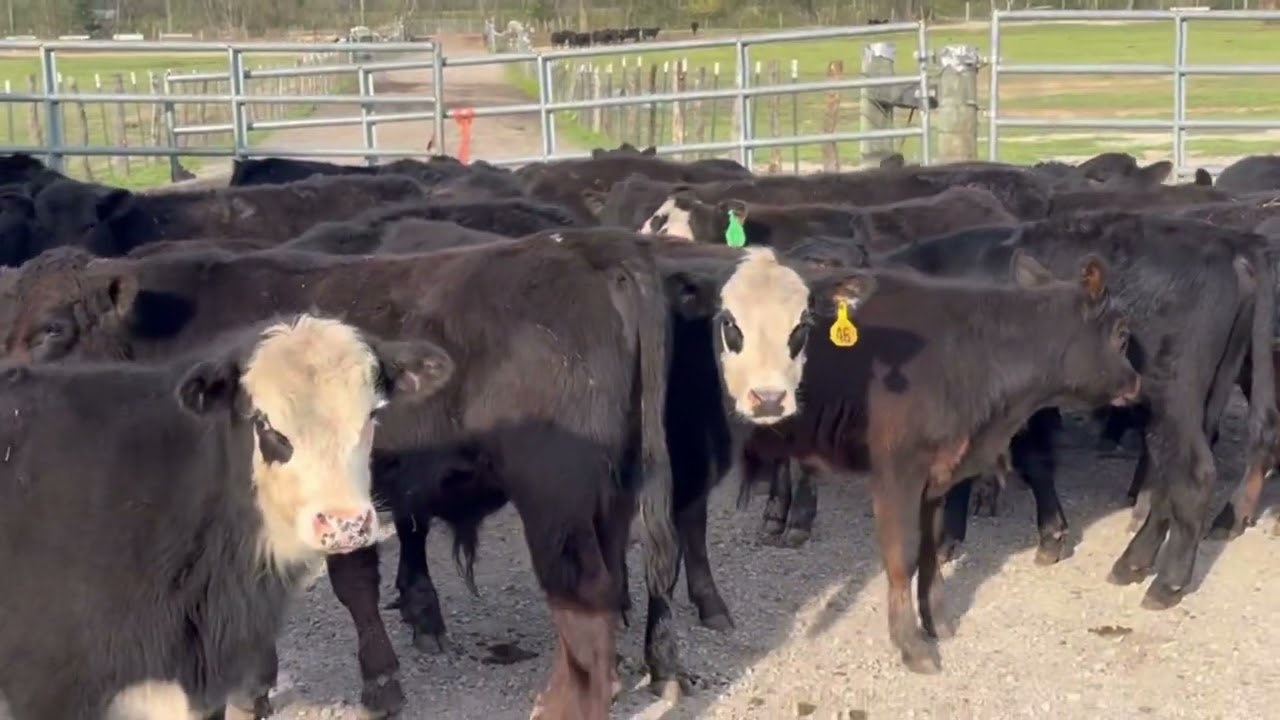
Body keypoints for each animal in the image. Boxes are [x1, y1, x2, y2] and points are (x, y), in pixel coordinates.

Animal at [667, 246, 1138, 673]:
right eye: (1121, 334)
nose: (1135, 382)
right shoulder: (897, 471)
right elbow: (902, 556)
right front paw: (911, 644)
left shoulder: (937, 474)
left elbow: (930, 547)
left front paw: (937, 622)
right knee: (691, 516)